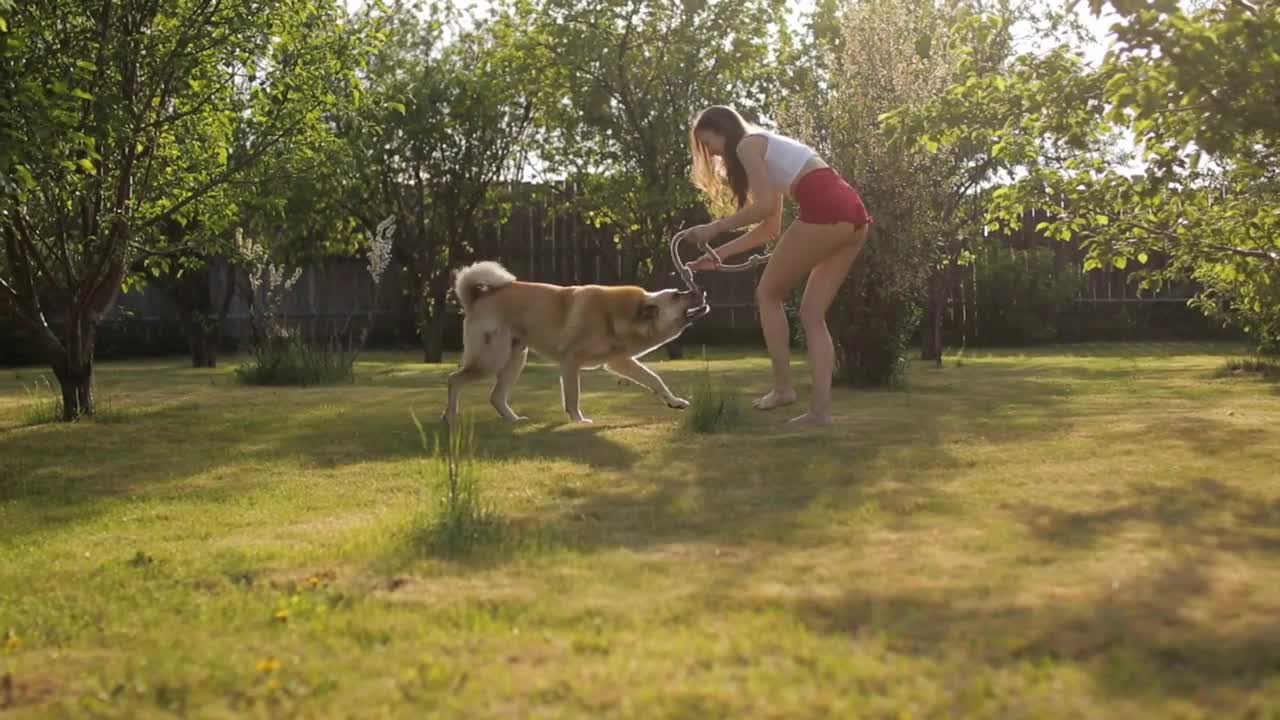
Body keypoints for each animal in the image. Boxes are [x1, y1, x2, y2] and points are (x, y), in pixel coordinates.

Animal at [445, 260, 711, 422]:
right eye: (677, 295)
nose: (701, 290)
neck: (616, 315)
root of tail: (476, 298)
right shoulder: (571, 363)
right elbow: (573, 396)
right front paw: (578, 421)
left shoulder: (619, 362)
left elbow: (654, 380)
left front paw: (674, 402)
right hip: (492, 360)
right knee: (454, 379)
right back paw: (450, 416)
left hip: (514, 359)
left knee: (496, 396)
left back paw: (513, 420)